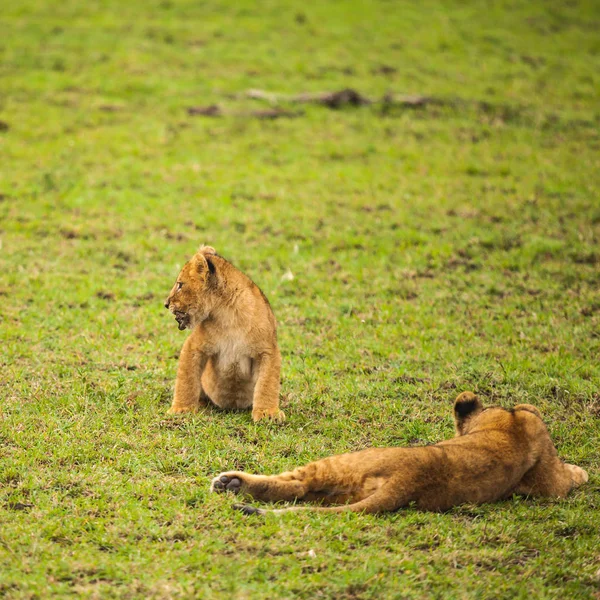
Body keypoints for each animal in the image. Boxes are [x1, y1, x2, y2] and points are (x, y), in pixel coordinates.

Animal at [165, 244, 284, 422]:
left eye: (180, 285)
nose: (166, 304)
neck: (228, 313)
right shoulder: (194, 346)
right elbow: (186, 379)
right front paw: (182, 409)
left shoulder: (268, 350)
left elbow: (267, 383)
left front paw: (268, 413)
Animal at [211, 392, 584, 512]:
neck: (511, 430)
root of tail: (408, 480)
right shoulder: (547, 479)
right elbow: (562, 480)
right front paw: (581, 473)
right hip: (345, 488)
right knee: (299, 491)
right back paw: (233, 486)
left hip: (345, 462)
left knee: (297, 484)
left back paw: (229, 482)